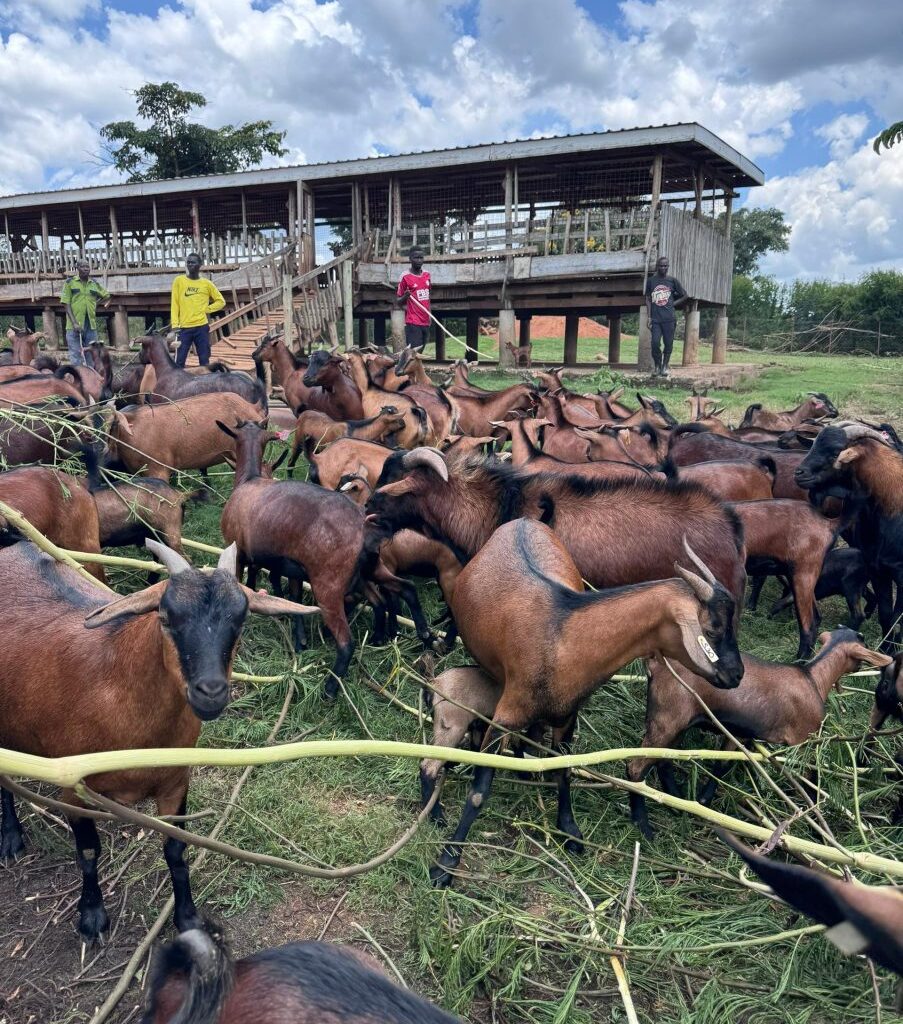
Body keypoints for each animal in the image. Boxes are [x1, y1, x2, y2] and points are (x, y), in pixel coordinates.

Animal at [0, 540, 318, 937]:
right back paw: (11, 837)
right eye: (165, 617)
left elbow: (176, 850)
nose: (211, 692)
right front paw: (92, 916)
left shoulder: (175, 782)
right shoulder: (71, 786)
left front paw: (188, 917)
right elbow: (88, 851)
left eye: (241, 618)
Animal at [421, 519, 742, 886]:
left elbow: (564, 770)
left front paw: (569, 830)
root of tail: (523, 521)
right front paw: (446, 863)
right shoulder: (507, 713)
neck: (564, 638)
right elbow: (478, 792)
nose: (737, 674)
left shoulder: (568, 717)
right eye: (714, 628)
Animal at [629, 629, 891, 836]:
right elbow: (810, 782)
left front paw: (704, 801)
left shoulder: (743, 733)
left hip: (678, 722)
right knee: (636, 767)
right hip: (667, 718)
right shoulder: (805, 739)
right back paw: (643, 826)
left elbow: (722, 765)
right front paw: (820, 829)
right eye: (862, 639)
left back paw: (676, 802)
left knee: (663, 761)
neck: (813, 678)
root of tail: (656, 662)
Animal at [795, 421, 903, 650]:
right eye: (814, 444)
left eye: (836, 451)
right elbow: (886, 616)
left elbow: (897, 620)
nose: (799, 473)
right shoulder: (878, 570)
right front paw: (884, 649)